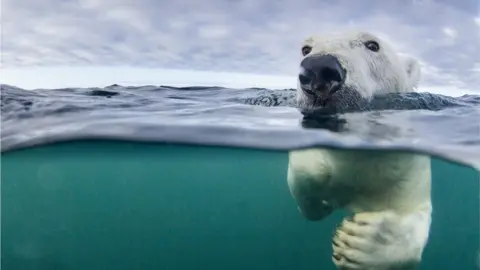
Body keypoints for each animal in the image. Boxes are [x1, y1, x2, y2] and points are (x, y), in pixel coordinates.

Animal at [286, 30, 434, 268]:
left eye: (372, 45)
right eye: (306, 48)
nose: (318, 69)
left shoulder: (407, 170)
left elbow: (413, 214)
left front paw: (359, 243)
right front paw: (321, 199)